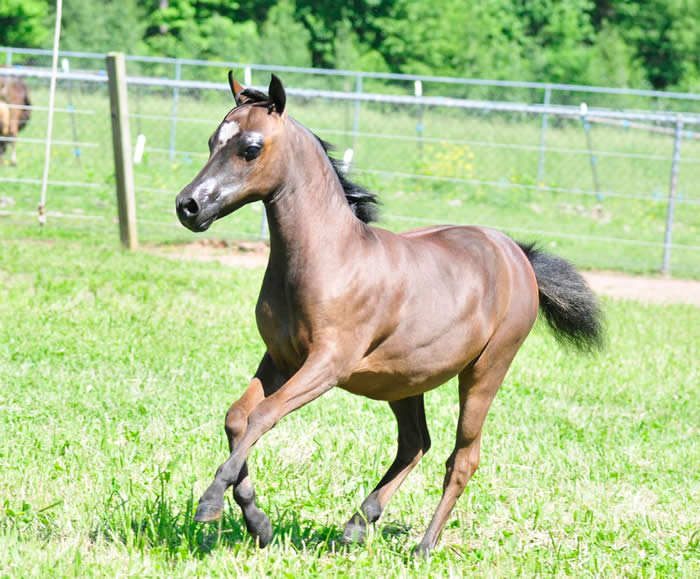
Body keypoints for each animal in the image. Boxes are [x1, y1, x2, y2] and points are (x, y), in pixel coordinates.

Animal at [174, 73, 600, 556]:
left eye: (250, 147)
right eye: (212, 141)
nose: (188, 206)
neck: (330, 258)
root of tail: (518, 255)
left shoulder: (327, 365)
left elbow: (263, 416)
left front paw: (211, 503)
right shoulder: (279, 360)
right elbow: (237, 418)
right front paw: (257, 522)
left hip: (486, 371)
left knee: (462, 458)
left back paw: (423, 546)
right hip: (405, 379)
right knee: (415, 444)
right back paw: (359, 523)